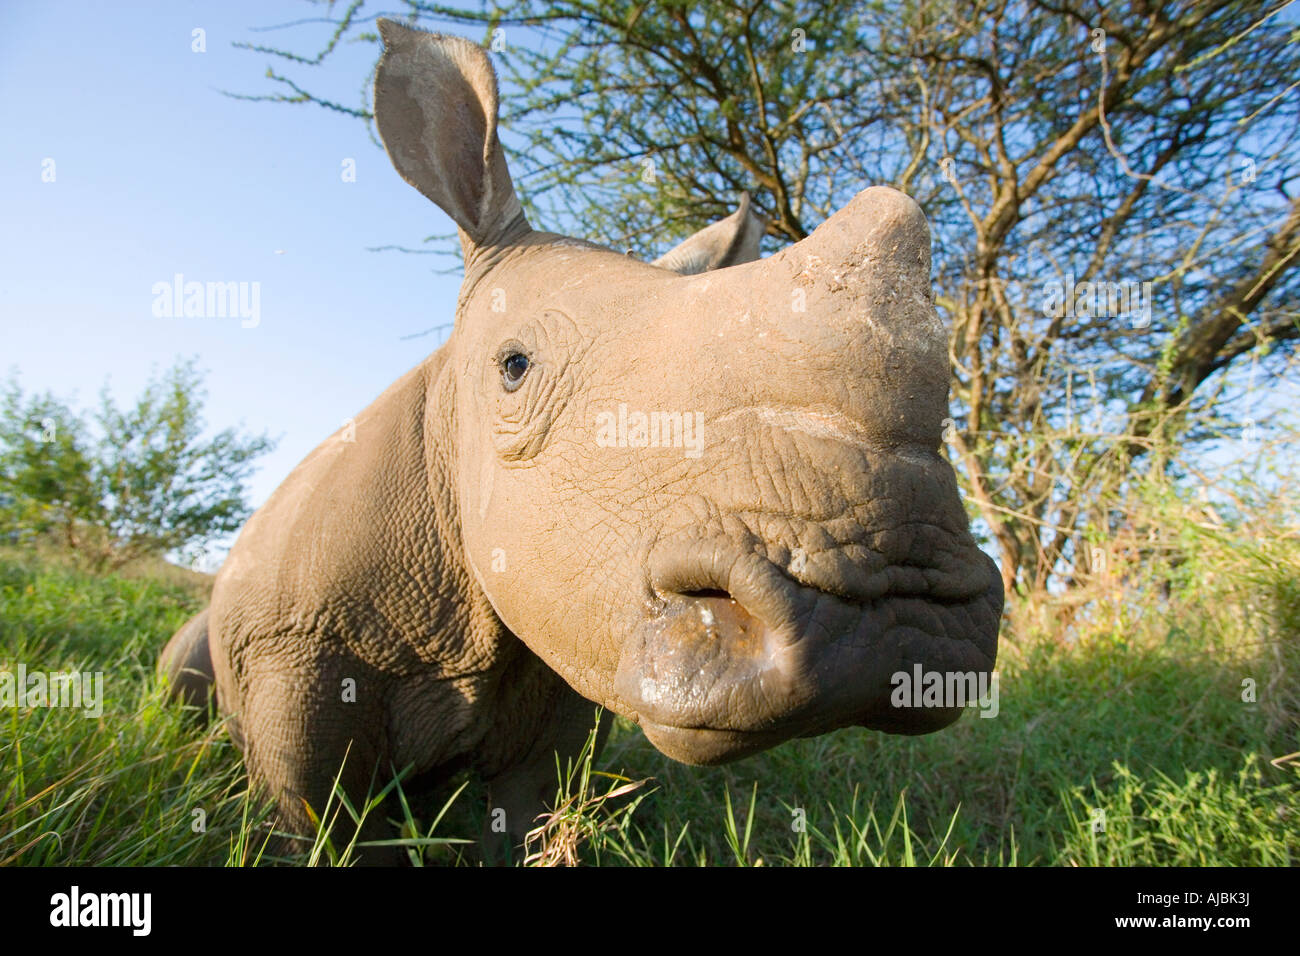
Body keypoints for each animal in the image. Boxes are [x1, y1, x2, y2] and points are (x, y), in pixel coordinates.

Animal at [154, 18, 1003, 863]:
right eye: (514, 368)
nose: (893, 609)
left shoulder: (567, 650)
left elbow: (525, 811)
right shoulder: (289, 650)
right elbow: (316, 820)